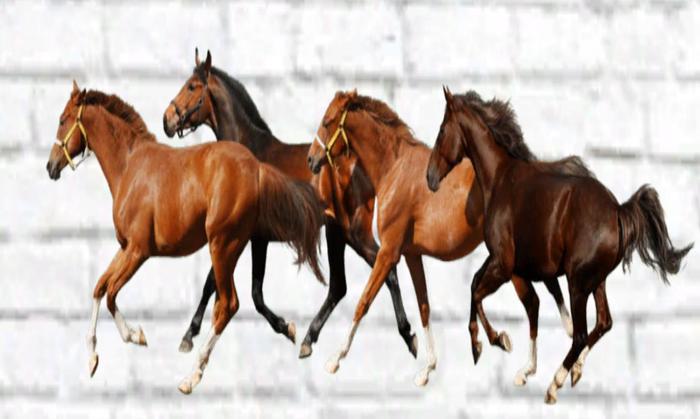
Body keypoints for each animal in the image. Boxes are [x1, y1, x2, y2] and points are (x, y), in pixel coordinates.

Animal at [46, 82, 325, 394]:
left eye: (62, 120)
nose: (50, 166)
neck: (130, 166)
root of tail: (256, 167)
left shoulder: (138, 252)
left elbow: (111, 293)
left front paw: (135, 336)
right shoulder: (125, 248)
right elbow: (99, 287)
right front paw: (93, 358)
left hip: (223, 245)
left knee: (228, 304)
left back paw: (191, 376)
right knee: (227, 302)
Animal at [162, 49, 417, 359]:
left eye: (192, 86)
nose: (166, 121)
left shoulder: (241, 236)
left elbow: (219, 284)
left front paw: (189, 334)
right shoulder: (255, 238)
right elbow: (251, 292)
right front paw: (286, 328)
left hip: (351, 234)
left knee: (381, 273)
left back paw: (405, 336)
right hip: (338, 235)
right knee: (343, 286)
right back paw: (312, 338)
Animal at [306, 90, 579, 386]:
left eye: (327, 121)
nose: (310, 160)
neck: (393, 168)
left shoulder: (388, 251)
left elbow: (363, 301)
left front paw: (334, 359)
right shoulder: (411, 255)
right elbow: (424, 306)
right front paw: (427, 368)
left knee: (532, 302)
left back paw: (526, 358)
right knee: (546, 290)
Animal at [426, 87, 693, 403]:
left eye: (442, 130)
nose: (429, 177)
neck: (500, 178)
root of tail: (618, 210)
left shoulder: (504, 265)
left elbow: (484, 294)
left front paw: (496, 341)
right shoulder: (513, 267)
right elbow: (507, 298)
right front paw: (513, 363)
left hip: (578, 282)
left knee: (581, 333)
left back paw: (556, 383)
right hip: (596, 281)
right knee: (603, 322)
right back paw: (575, 370)